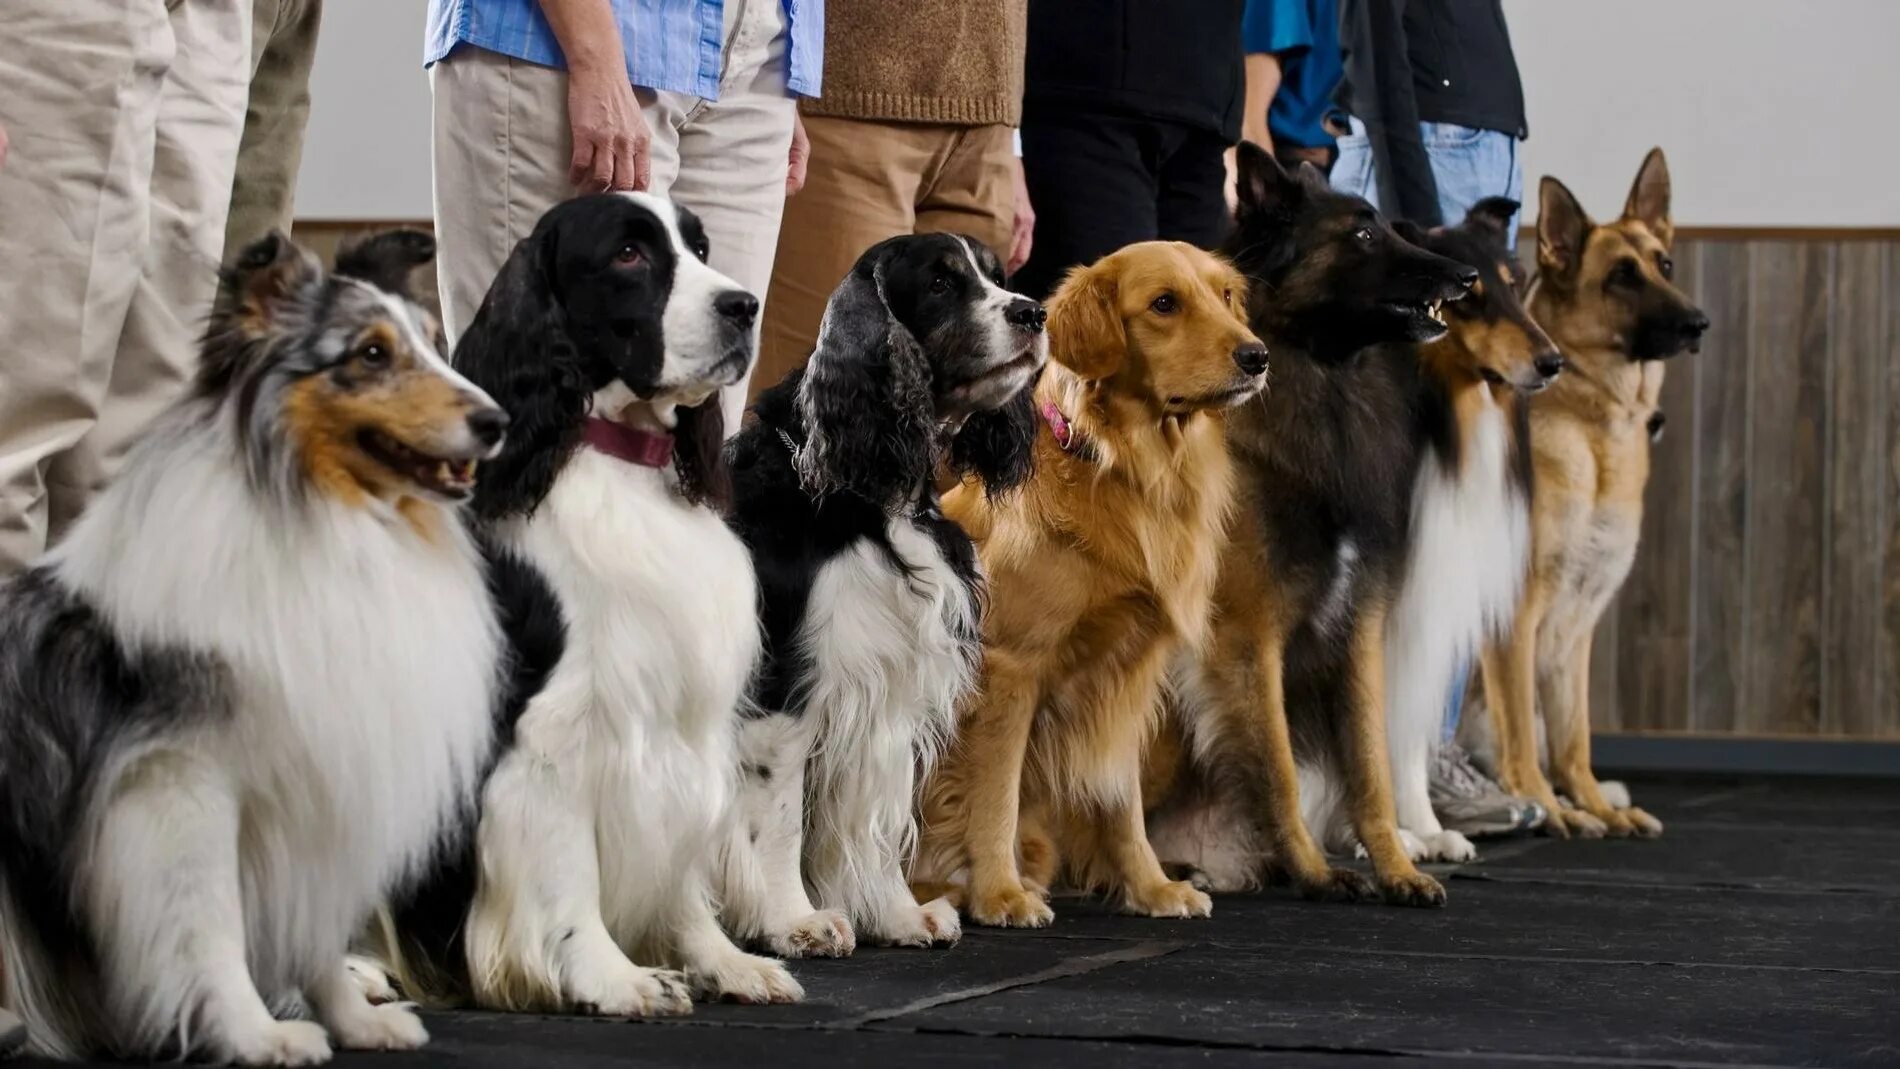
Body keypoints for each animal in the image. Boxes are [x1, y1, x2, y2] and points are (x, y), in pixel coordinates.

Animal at [0, 227, 505, 1063]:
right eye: (371, 352)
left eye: (435, 344)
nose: (498, 420)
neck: (329, 521)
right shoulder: (178, 787)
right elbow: (207, 925)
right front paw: (255, 1032)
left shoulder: (322, 792)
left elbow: (318, 931)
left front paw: (355, 1020)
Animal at [722, 236, 1048, 953]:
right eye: (940, 283)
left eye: (996, 275)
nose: (1033, 312)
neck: (864, 496)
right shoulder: (784, 685)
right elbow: (778, 817)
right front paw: (795, 921)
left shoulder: (885, 684)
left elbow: (875, 818)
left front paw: (900, 916)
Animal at [912, 240, 1269, 930]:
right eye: (1164, 303)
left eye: (1225, 296)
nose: (1257, 356)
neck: (1126, 469)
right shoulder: (1009, 669)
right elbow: (992, 795)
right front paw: (1000, 894)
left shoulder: (1125, 674)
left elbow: (1120, 800)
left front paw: (1152, 887)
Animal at [1140, 142, 1482, 907]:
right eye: (1361, 234)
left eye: (1388, 225)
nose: (1468, 274)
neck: (1325, 382)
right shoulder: (1247, 635)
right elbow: (1278, 768)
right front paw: (1318, 872)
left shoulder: (1358, 628)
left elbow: (1370, 768)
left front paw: (1397, 868)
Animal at [1459, 150, 1717, 835]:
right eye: (1621, 277)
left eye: (1664, 265)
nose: (1698, 323)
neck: (1594, 426)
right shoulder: (1516, 617)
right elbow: (1523, 735)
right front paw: (1551, 809)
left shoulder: (1577, 623)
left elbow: (1574, 735)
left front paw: (1592, 804)